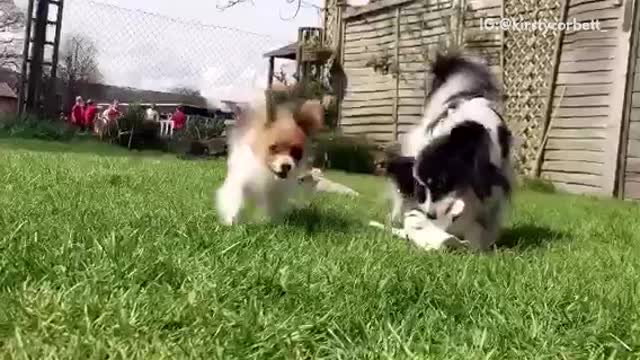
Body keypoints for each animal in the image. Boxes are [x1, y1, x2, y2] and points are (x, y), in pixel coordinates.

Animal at [216, 88, 324, 225]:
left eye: (296, 152)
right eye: (273, 148)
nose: (286, 166)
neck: (266, 171)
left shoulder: (275, 192)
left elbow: (271, 206)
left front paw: (269, 222)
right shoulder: (241, 178)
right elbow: (235, 198)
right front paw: (231, 220)